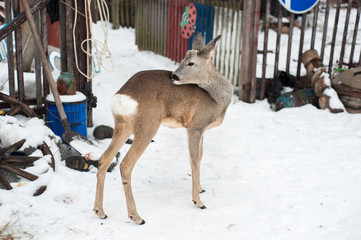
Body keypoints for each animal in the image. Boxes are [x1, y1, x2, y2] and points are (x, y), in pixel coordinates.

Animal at [93, 32, 233, 224]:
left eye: (191, 62)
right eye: (183, 59)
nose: (173, 76)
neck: (216, 99)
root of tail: (122, 96)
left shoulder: (202, 130)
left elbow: (200, 156)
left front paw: (201, 189)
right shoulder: (195, 126)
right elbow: (194, 160)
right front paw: (198, 201)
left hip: (123, 125)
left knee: (104, 159)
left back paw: (100, 211)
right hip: (148, 125)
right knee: (125, 165)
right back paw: (136, 216)